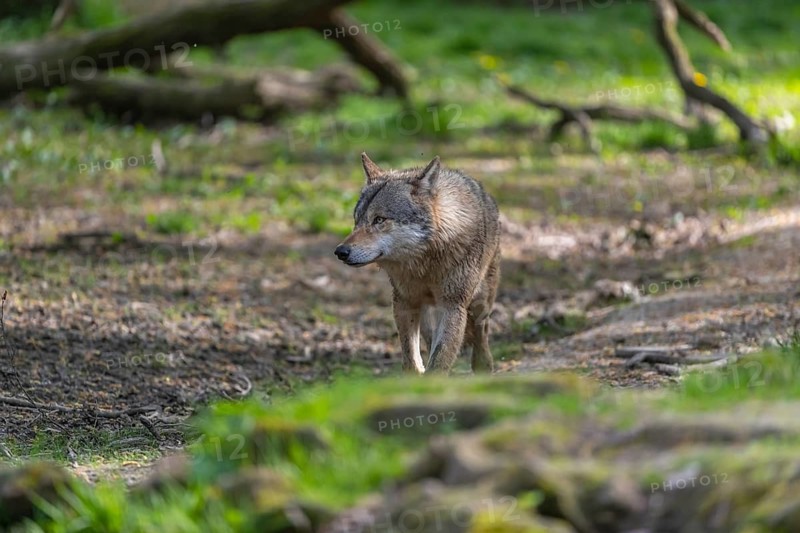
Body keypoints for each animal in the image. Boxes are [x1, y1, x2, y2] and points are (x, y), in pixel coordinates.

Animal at [334, 153, 500, 374]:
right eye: (356, 220)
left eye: (379, 219)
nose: (340, 252)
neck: (425, 264)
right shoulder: (404, 301)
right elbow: (411, 356)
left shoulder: (452, 306)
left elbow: (440, 357)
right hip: (428, 311)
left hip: (480, 300)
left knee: (482, 328)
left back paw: (483, 364)